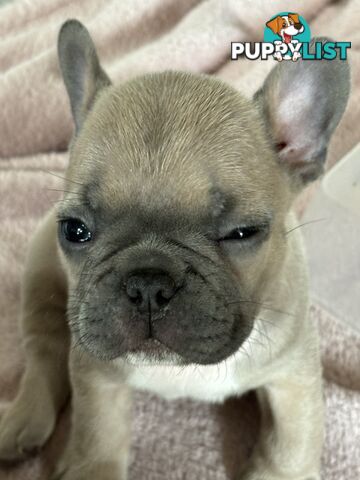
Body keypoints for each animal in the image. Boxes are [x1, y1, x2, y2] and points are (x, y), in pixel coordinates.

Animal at [0, 19, 348, 480]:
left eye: (242, 233)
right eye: (75, 230)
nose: (147, 283)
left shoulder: (294, 370)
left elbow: (290, 443)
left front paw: (278, 471)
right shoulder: (95, 371)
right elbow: (98, 436)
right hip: (40, 270)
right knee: (44, 348)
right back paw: (23, 420)